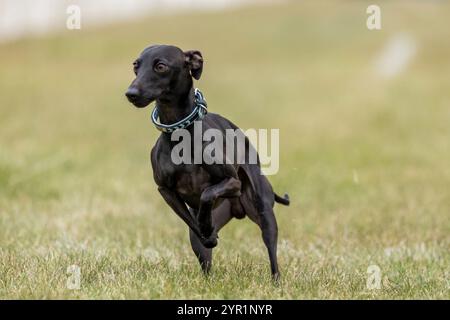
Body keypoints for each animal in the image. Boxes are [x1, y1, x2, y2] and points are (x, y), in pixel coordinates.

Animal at [125, 45, 290, 280]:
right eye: (135, 66)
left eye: (160, 66)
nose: (131, 93)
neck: (180, 135)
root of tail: (237, 209)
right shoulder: (165, 191)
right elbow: (192, 222)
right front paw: (206, 231)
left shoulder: (232, 182)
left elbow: (206, 194)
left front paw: (206, 224)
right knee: (205, 259)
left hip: (263, 213)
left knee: (271, 250)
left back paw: (275, 280)